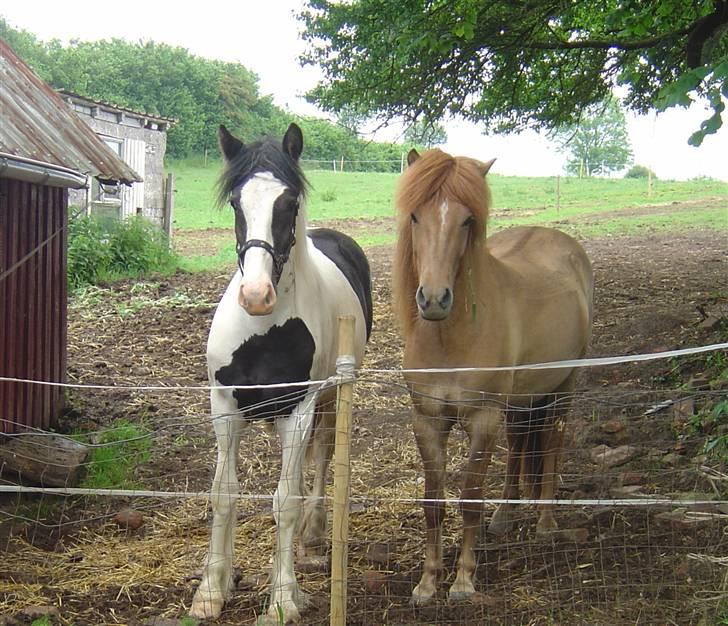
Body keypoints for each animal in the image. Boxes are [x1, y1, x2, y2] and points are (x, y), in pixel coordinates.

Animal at [191, 124, 372, 620]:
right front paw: (212, 589)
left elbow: (286, 500)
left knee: (322, 459)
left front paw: (283, 597)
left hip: (329, 402)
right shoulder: (223, 406)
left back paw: (313, 537)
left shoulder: (300, 409)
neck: (262, 331)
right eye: (236, 202)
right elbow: (224, 494)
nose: (256, 295)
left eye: (289, 203)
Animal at [396, 147, 596, 604]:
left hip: (564, 386)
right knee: (521, 440)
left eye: (467, 220)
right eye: (415, 215)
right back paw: (506, 513)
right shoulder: (427, 420)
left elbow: (470, 497)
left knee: (552, 441)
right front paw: (427, 583)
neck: (450, 339)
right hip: (521, 399)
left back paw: (544, 522)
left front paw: (463, 581)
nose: (434, 299)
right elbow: (433, 501)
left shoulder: (482, 418)